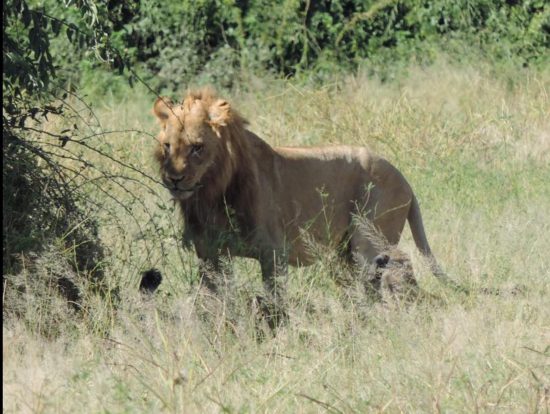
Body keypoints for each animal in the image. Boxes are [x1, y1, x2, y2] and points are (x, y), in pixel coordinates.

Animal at [151, 87, 452, 320]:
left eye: (197, 147)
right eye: (167, 146)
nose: (174, 179)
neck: (212, 194)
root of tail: (404, 178)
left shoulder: (273, 252)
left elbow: (274, 300)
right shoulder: (209, 254)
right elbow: (214, 299)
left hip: (368, 242)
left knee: (391, 273)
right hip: (343, 254)